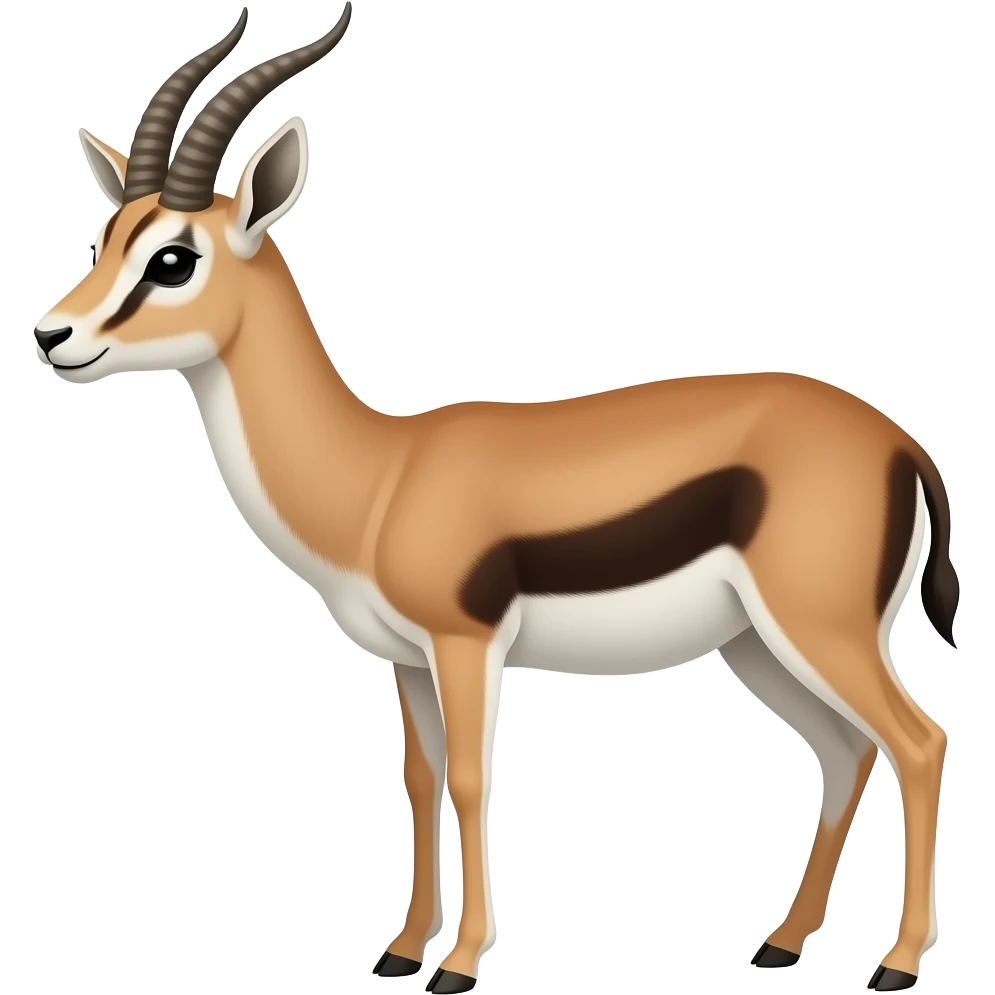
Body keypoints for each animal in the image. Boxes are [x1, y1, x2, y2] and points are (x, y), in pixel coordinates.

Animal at [32, 6, 958, 993]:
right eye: (105, 237)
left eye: (173, 258)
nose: (53, 334)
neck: (379, 474)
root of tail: (899, 441)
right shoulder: (405, 659)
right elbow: (421, 777)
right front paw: (402, 950)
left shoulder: (465, 642)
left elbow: (475, 777)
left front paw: (461, 963)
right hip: (756, 643)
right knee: (844, 750)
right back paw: (781, 942)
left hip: (820, 628)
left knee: (917, 741)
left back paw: (896, 963)